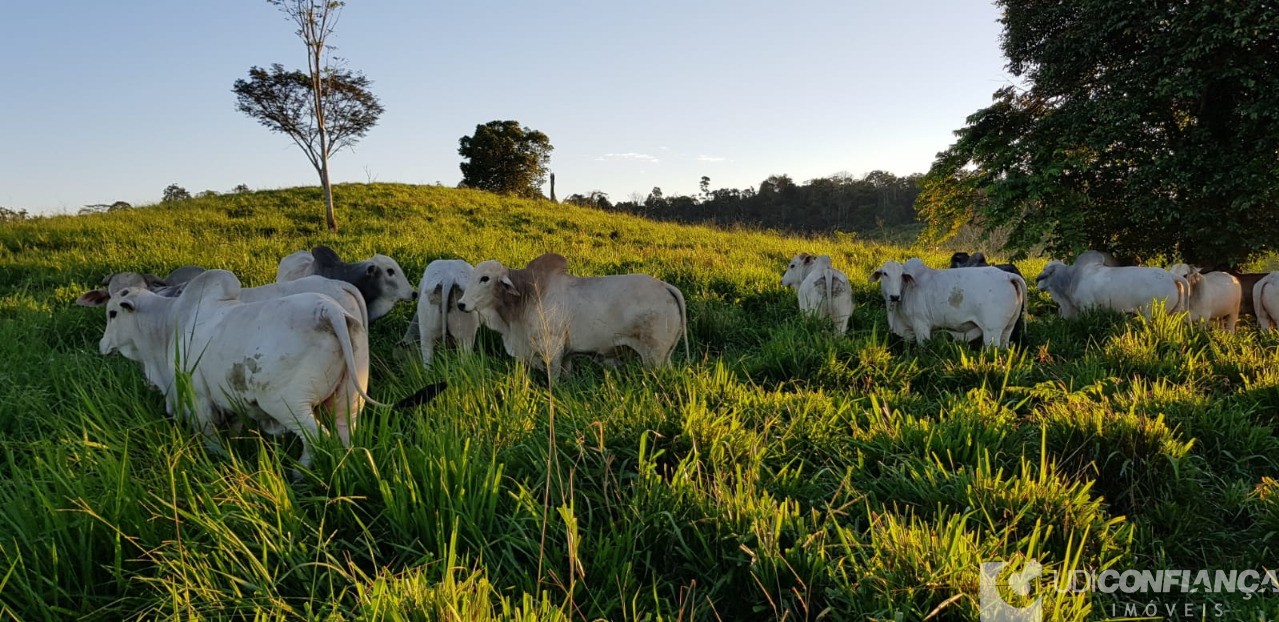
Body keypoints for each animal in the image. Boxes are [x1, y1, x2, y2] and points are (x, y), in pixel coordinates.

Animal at [95, 270, 378, 468]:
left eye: (112, 313)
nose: (102, 345)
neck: (169, 323)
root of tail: (327, 310)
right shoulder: (229, 402)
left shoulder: (199, 399)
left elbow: (211, 439)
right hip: (348, 399)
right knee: (343, 434)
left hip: (289, 405)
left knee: (317, 439)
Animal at [452, 252, 685, 378]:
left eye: (485, 278)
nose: (461, 304)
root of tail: (664, 286)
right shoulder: (566, 355)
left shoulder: (552, 350)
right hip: (664, 358)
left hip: (654, 357)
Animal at [869, 254, 1028, 348]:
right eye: (884, 273)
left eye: (902, 275)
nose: (894, 296)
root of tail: (1008, 276)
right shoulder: (908, 332)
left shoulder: (921, 326)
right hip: (1008, 328)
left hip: (992, 331)